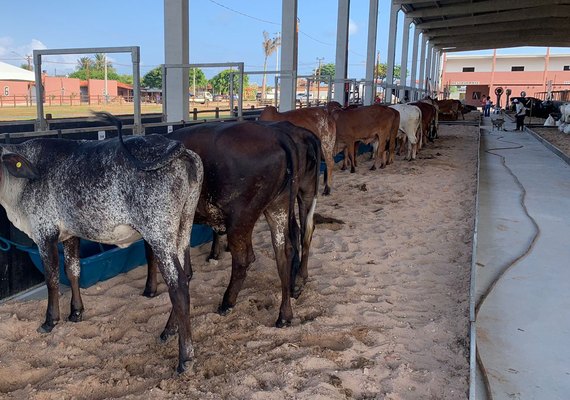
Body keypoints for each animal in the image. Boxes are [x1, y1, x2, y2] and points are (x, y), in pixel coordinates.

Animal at [0, 111, 203, 372]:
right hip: (184, 225)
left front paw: (50, 321)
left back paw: (184, 357)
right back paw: (169, 330)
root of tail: (182, 151)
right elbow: (72, 270)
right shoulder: (70, 233)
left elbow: (52, 278)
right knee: (186, 274)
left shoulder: (45, 232)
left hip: (159, 232)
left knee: (177, 284)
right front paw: (76, 313)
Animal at [142, 120, 320, 332]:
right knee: (289, 247)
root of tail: (278, 135)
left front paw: (149, 289)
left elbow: (150, 254)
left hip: (241, 218)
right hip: (283, 203)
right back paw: (286, 310)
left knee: (244, 259)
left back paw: (228, 302)